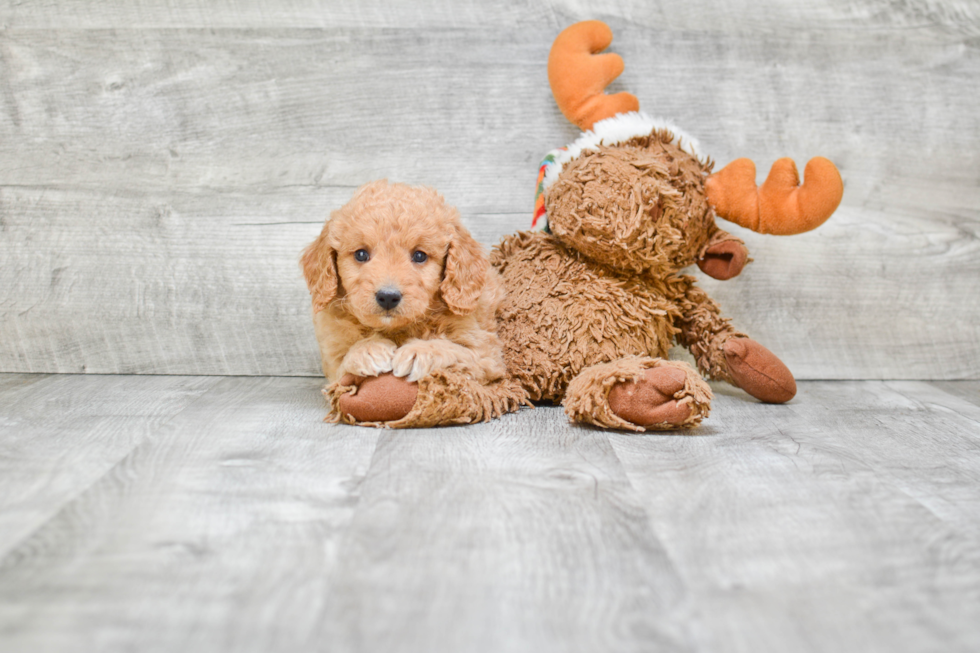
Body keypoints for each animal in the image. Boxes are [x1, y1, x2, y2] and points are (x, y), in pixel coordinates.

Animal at [300, 181, 506, 404]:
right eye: (361, 254)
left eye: (419, 256)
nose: (388, 297)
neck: (396, 329)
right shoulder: (333, 362)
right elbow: (342, 368)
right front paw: (367, 350)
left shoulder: (487, 355)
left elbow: (458, 351)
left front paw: (419, 352)